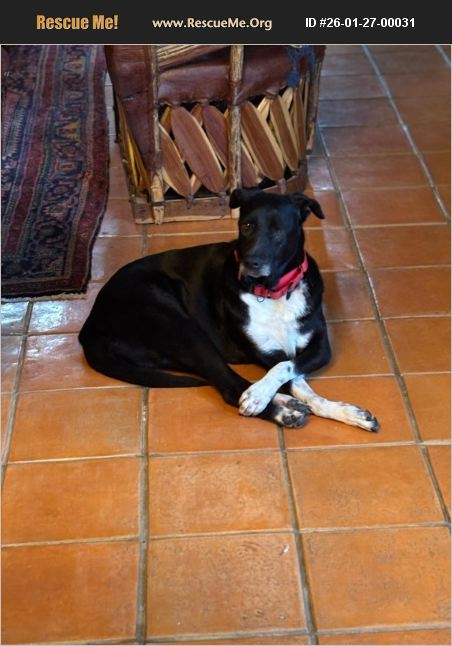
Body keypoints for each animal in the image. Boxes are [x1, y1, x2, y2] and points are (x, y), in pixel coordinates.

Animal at [79, 188, 379, 431]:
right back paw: (281, 410)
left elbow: (295, 376)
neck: (273, 294)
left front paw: (346, 412)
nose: (251, 264)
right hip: (181, 328)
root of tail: (89, 325)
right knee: (228, 385)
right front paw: (259, 396)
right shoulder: (266, 352)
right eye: (246, 226)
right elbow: (283, 368)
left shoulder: (320, 348)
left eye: (278, 231)